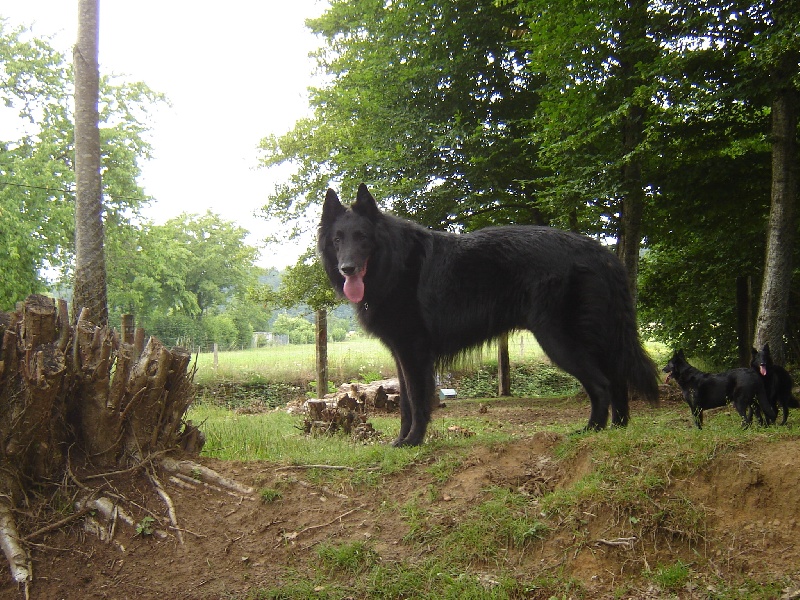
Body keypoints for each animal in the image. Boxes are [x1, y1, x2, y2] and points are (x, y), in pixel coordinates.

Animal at [316, 186, 660, 446]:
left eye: (362, 237)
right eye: (337, 239)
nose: (347, 269)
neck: (392, 262)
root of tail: (604, 255)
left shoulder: (414, 352)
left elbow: (416, 399)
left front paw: (413, 441)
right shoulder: (402, 354)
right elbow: (405, 405)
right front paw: (401, 440)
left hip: (558, 339)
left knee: (601, 384)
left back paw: (591, 431)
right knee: (617, 379)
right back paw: (619, 428)